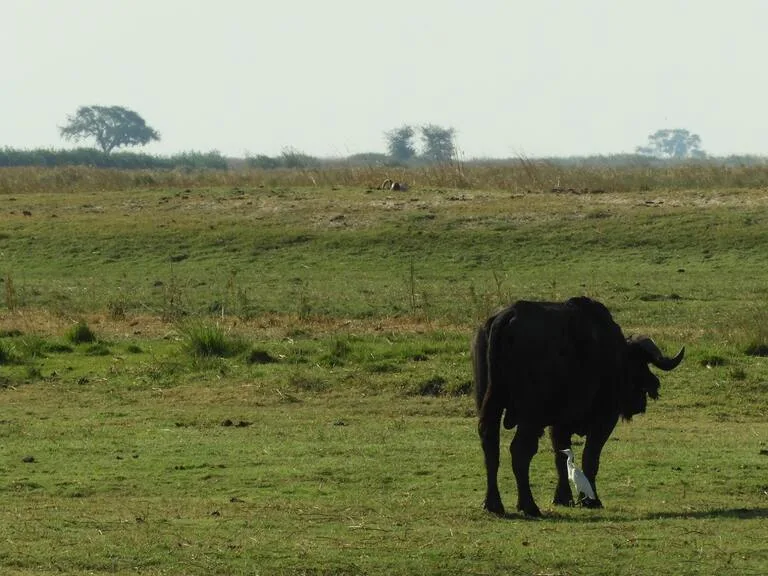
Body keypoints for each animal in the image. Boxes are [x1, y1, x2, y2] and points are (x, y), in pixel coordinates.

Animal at [474, 296, 684, 516]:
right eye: (640, 363)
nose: (650, 389)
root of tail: (507, 316)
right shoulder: (604, 419)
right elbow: (590, 458)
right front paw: (591, 500)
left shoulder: (558, 424)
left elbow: (561, 458)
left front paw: (563, 498)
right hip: (531, 418)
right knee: (520, 451)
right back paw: (529, 506)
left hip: (489, 405)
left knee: (490, 445)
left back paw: (493, 504)